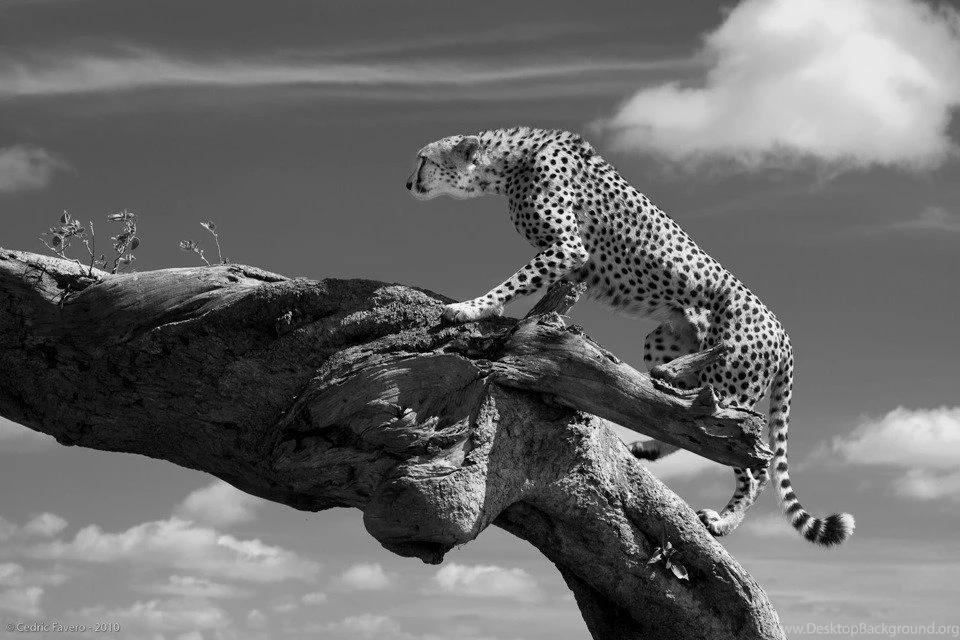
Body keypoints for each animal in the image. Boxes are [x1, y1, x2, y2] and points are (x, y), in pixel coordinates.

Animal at [405, 126, 854, 546]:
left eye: (423, 159)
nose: (408, 184)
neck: (511, 161)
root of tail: (784, 333)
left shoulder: (568, 247)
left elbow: (514, 282)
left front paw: (472, 307)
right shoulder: (571, 263)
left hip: (730, 388)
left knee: (748, 462)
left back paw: (723, 522)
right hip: (664, 342)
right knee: (682, 415)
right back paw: (649, 447)